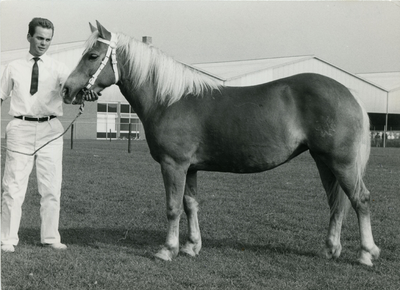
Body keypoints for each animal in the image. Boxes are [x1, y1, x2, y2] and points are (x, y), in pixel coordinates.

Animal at [61, 19, 380, 266]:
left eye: (92, 55)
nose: (66, 89)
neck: (170, 99)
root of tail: (349, 93)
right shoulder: (189, 168)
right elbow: (191, 204)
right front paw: (191, 246)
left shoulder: (173, 165)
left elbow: (173, 207)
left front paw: (167, 250)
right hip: (324, 162)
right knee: (336, 203)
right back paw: (330, 249)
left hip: (341, 162)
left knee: (360, 199)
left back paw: (366, 253)